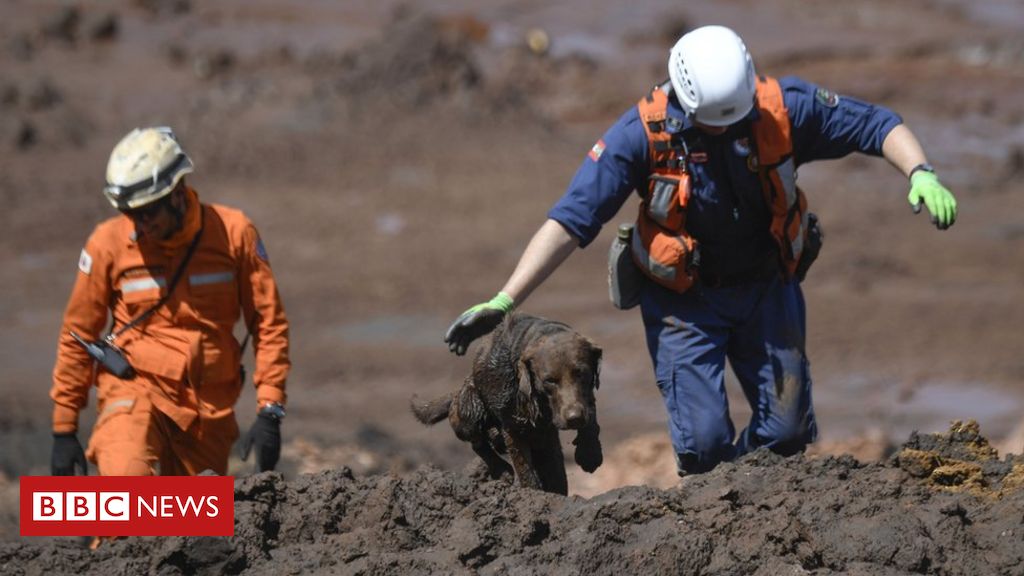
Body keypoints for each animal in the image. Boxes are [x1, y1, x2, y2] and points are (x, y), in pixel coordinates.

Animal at [409, 313, 598, 494]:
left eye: (581, 373)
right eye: (549, 380)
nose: (574, 418)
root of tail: (458, 391)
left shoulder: (585, 399)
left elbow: (590, 418)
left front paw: (589, 453)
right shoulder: (513, 428)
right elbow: (525, 469)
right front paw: (532, 493)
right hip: (470, 409)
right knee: (477, 442)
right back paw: (502, 470)